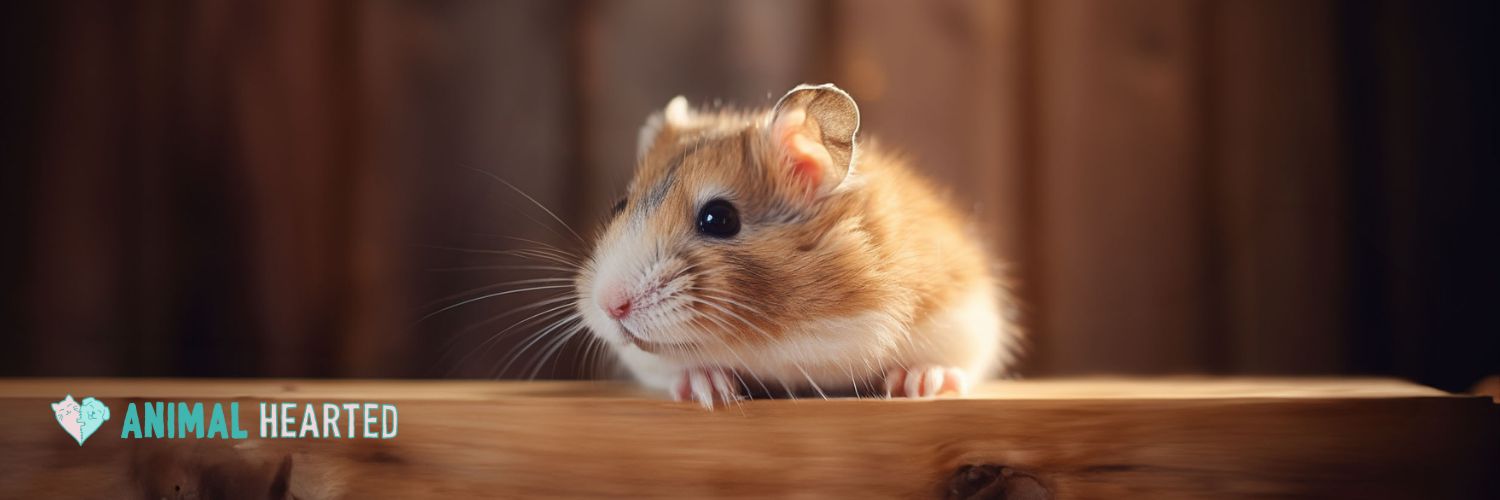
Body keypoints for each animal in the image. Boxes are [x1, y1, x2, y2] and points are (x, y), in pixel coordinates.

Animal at [576, 83, 1018, 408]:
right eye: (619, 206)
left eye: (719, 218)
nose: (609, 305)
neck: (789, 329)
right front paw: (707, 389)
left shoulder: (963, 313)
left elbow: (954, 362)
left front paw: (922, 383)